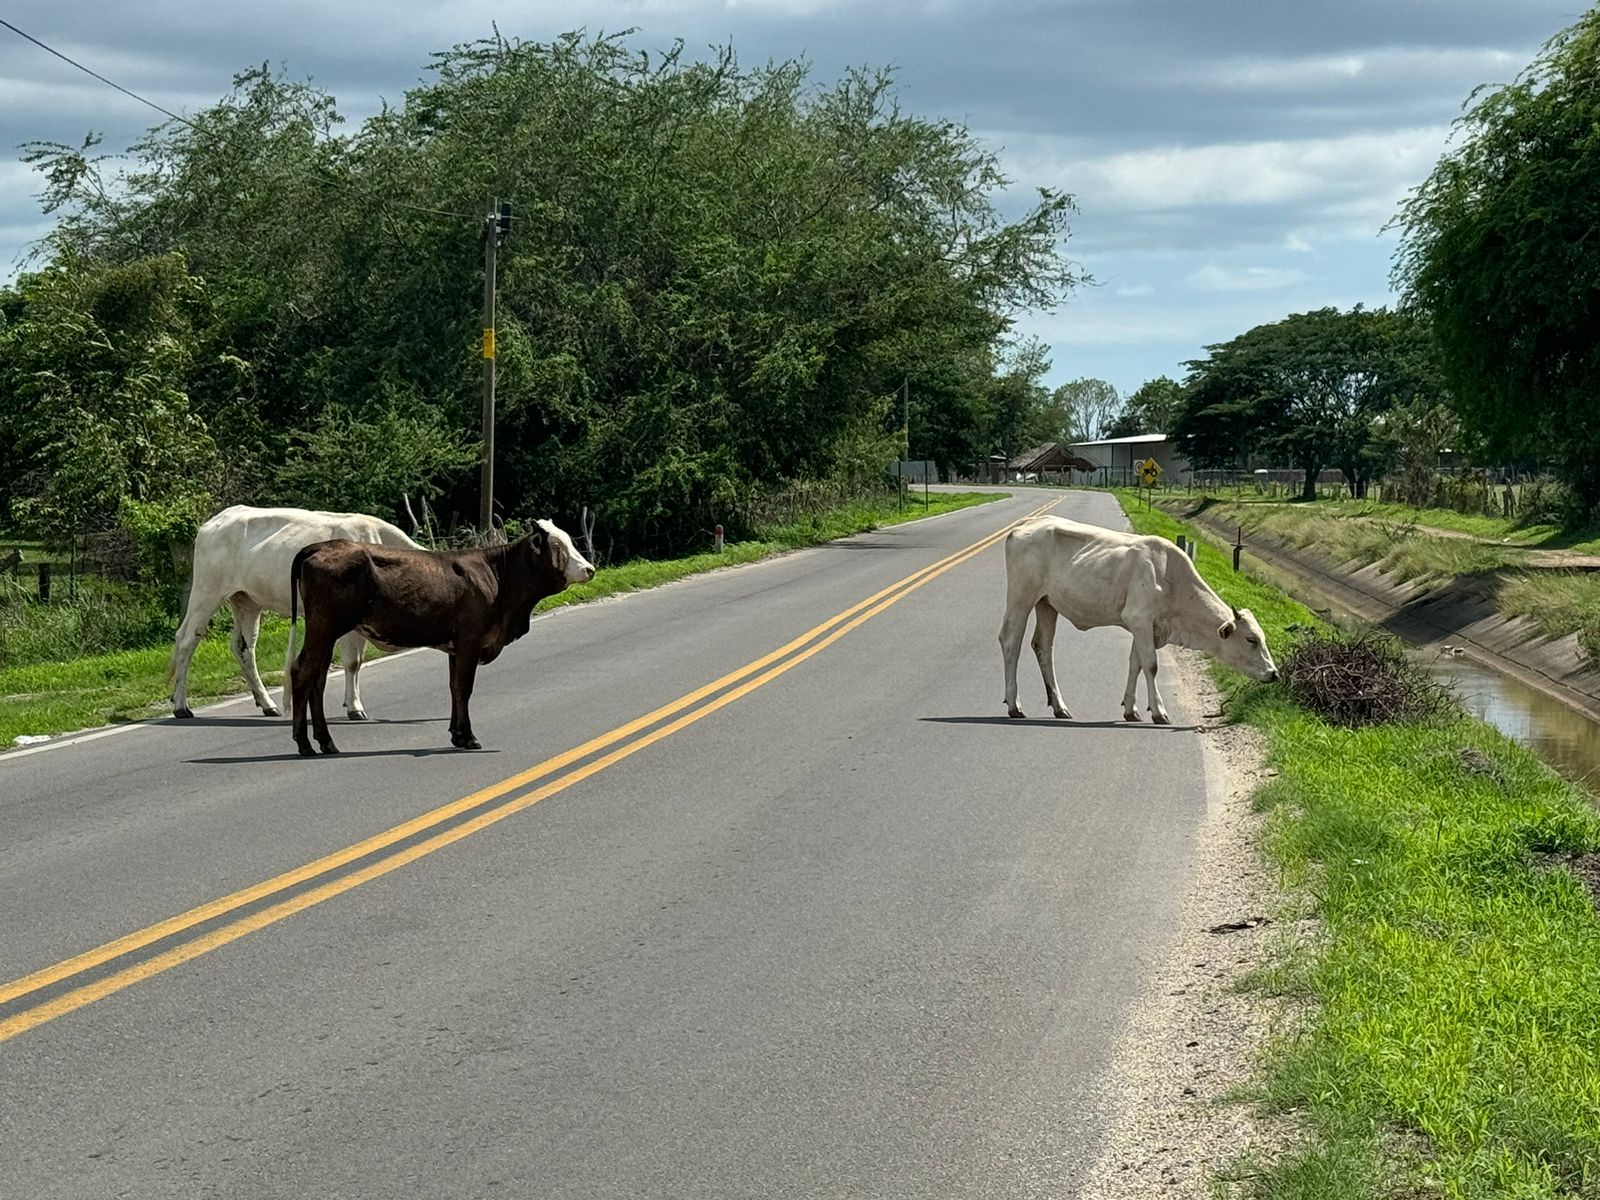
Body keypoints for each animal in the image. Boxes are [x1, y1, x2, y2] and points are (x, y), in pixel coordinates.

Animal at [168, 505, 419, 720]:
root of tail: (218, 518)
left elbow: (355, 662)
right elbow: (352, 662)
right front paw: (355, 708)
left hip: (246, 600)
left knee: (243, 647)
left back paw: (268, 704)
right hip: (207, 590)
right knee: (188, 639)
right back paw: (181, 706)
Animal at [286, 518, 595, 761]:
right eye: (558, 547)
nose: (590, 569)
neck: (498, 577)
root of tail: (320, 546)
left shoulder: (455, 648)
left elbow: (453, 688)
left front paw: (457, 734)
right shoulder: (470, 642)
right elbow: (464, 688)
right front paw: (468, 736)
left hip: (325, 634)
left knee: (317, 680)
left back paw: (325, 742)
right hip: (324, 628)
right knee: (302, 674)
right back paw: (305, 744)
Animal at [992, 518, 1280, 723]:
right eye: (1251, 639)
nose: (1274, 673)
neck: (1171, 579)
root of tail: (1024, 525)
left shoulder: (1145, 627)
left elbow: (1136, 664)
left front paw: (1131, 709)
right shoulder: (1140, 618)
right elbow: (1151, 665)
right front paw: (1159, 711)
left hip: (1047, 603)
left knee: (1043, 647)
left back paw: (1059, 706)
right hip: (1021, 597)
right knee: (1011, 640)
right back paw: (1014, 704)